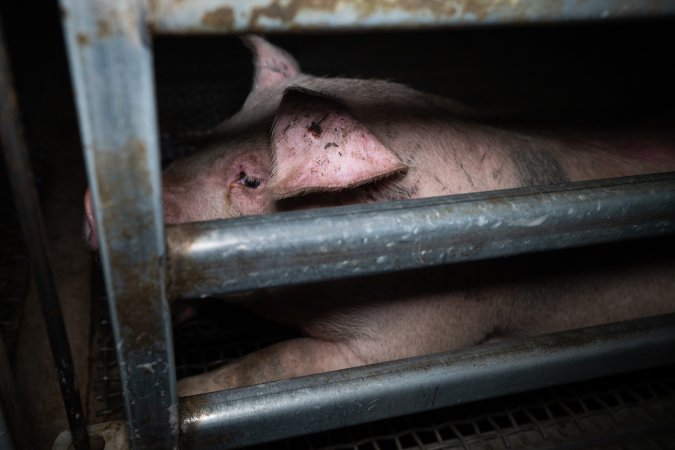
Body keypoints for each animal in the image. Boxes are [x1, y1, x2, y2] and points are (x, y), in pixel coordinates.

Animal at [84, 35, 675, 396]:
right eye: (213, 134)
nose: (90, 206)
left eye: (249, 178)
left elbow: (277, 362)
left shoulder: (417, 336)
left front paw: (183, 393)